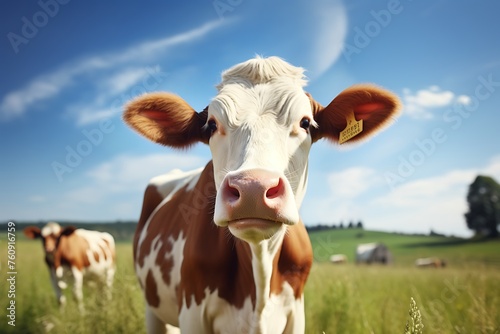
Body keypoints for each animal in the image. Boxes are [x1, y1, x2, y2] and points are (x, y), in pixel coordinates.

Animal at [125, 56, 402, 332]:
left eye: (305, 123)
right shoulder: (192, 313)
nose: (253, 188)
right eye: (212, 125)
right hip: (153, 309)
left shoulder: (297, 311)